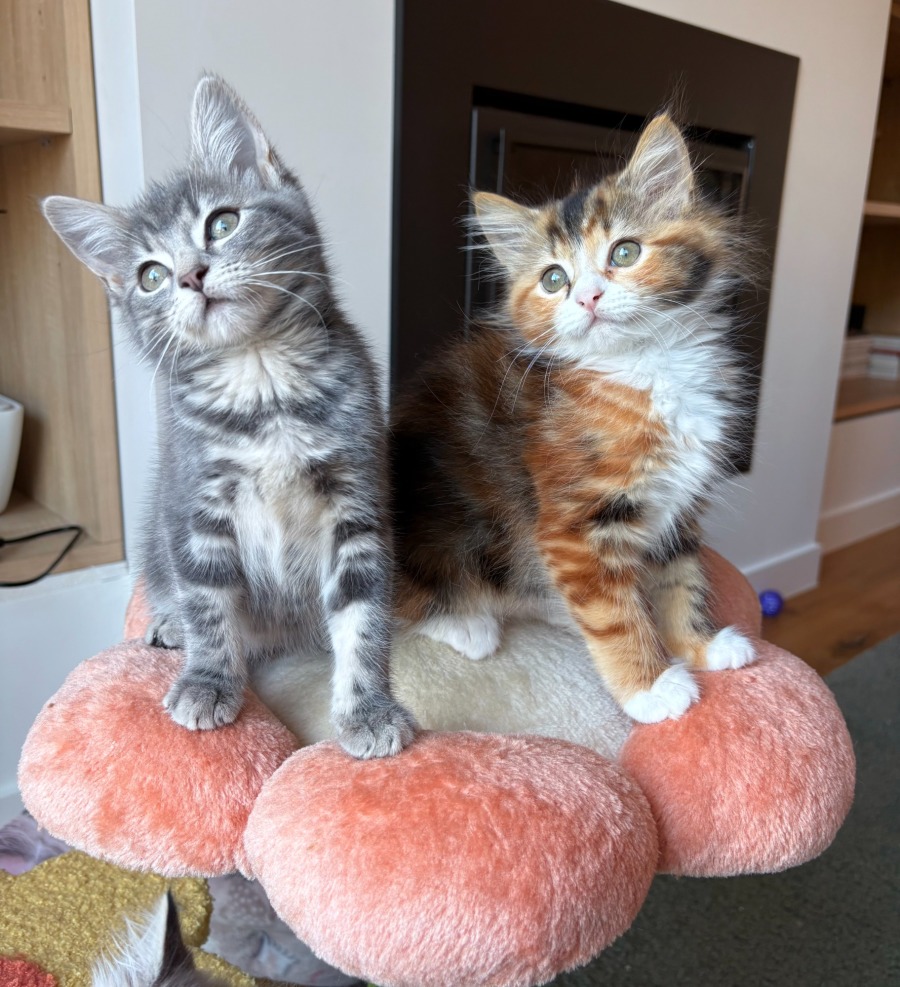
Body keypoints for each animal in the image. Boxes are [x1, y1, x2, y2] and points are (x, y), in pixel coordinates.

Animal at [42, 75, 415, 757]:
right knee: (174, 588)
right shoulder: (196, 501)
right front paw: (210, 680)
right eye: (150, 276)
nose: (191, 275)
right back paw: (169, 623)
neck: (261, 378)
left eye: (223, 222)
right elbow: (209, 601)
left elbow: (362, 615)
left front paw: (368, 707)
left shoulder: (356, 497)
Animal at [392, 113, 757, 723]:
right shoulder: (574, 525)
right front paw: (650, 685)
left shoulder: (679, 508)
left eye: (625, 253)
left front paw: (697, 643)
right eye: (554, 279)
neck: (648, 367)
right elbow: (614, 613)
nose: (587, 297)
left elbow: (680, 579)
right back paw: (469, 624)